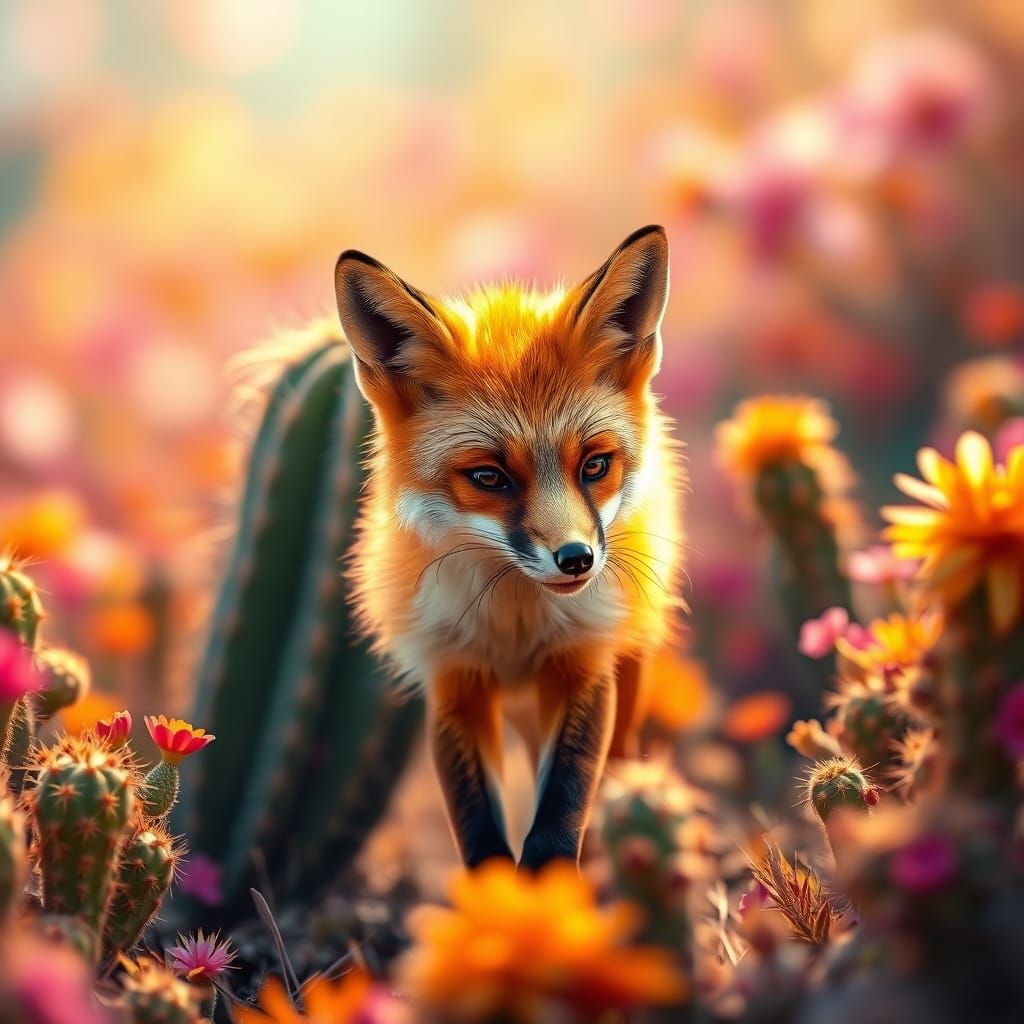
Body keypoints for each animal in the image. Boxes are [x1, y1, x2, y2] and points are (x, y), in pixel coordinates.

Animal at [333, 225, 685, 870]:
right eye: (490, 477)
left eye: (594, 465)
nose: (576, 559)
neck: (515, 624)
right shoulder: (454, 683)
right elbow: (481, 837)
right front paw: (497, 895)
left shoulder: (582, 667)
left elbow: (557, 824)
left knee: (620, 770)